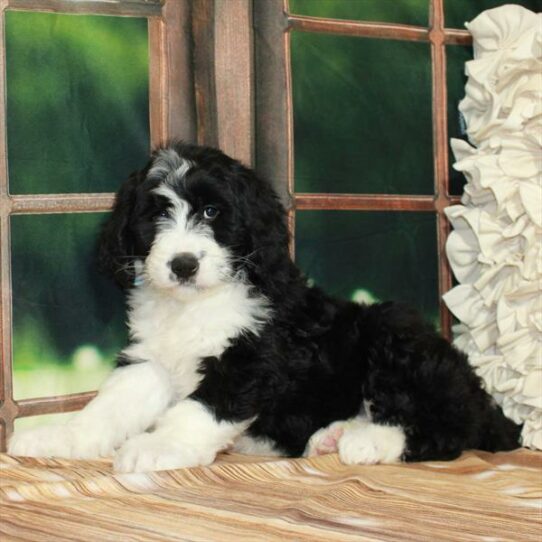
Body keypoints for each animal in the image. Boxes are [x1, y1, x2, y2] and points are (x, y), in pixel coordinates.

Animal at [8, 143, 524, 472]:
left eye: (212, 212)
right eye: (157, 214)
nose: (183, 264)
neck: (197, 304)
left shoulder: (254, 357)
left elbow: (201, 407)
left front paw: (160, 447)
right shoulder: (150, 358)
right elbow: (110, 405)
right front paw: (59, 438)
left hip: (394, 332)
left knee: (447, 429)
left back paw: (367, 440)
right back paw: (331, 436)